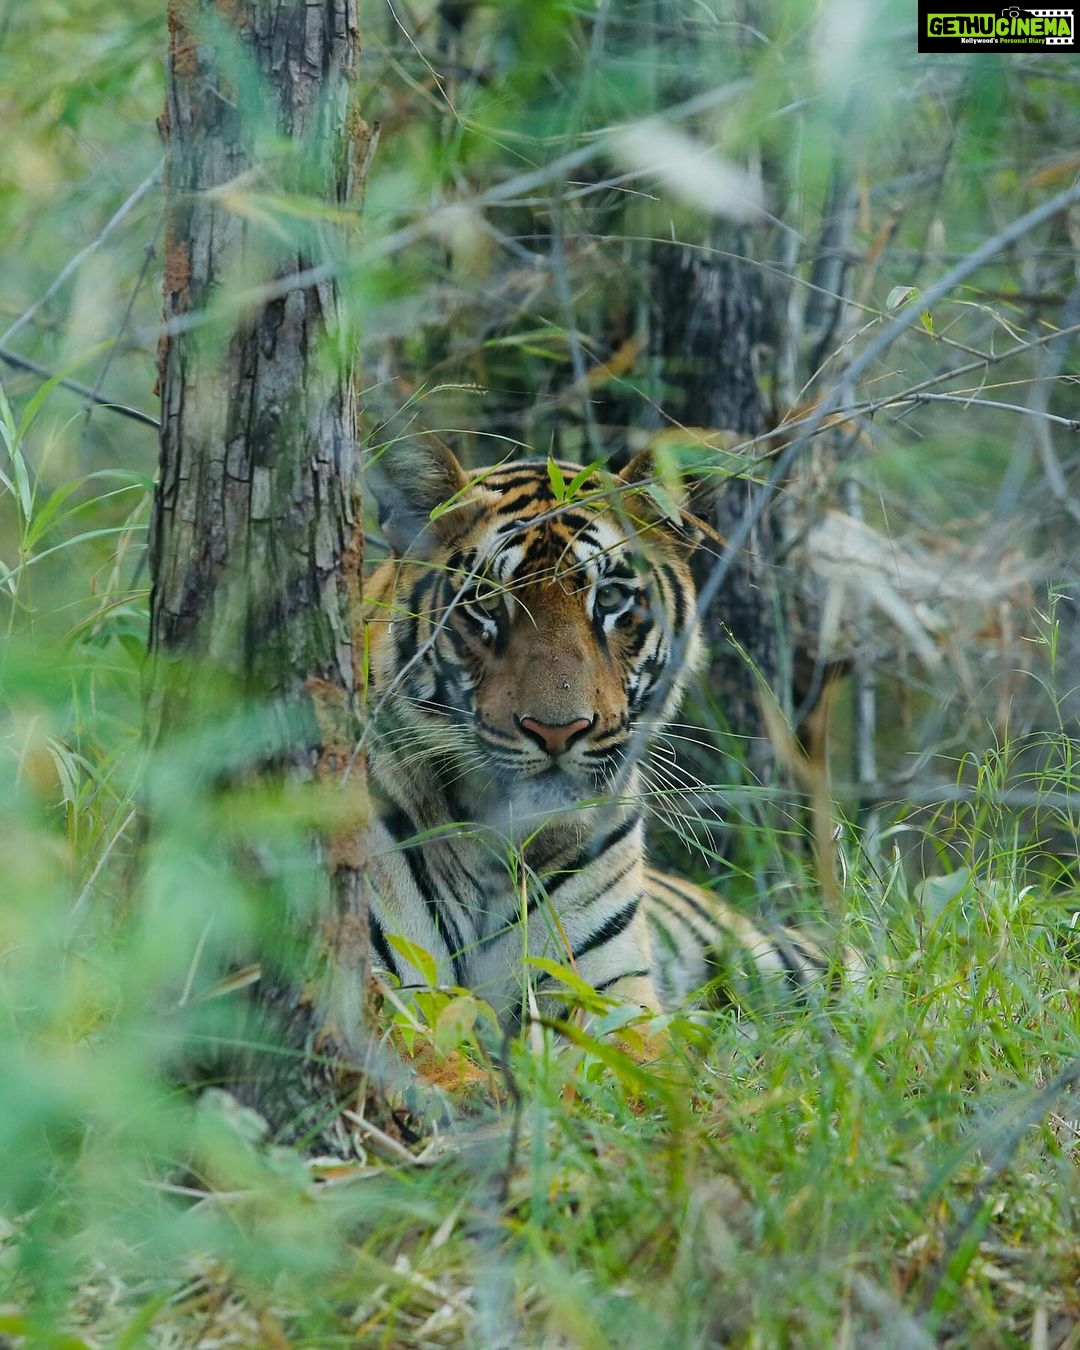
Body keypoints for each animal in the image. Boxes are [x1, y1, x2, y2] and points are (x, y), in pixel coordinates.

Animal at [358, 439, 844, 1027]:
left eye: (610, 600)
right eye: (488, 603)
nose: (556, 731)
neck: (499, 852)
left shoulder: (606, 991)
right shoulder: (382, 988)